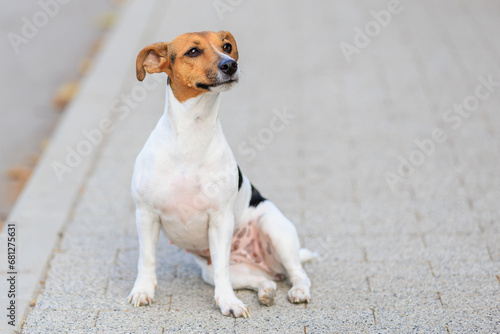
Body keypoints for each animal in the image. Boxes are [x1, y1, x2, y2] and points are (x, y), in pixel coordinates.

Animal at [129, 30, 316, 318]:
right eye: (193, 51)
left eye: (226, 46)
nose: (231, 65)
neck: (193, 133)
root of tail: (263, 263)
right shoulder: (146, 215)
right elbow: (146, 259)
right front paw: (143, 290)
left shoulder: (220, 220)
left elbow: (222, 270)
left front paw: (228, 302)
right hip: (228, 270)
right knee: (262, 280)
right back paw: (265, 291)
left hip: (275, 229)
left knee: (298, 272)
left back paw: (298, 291)